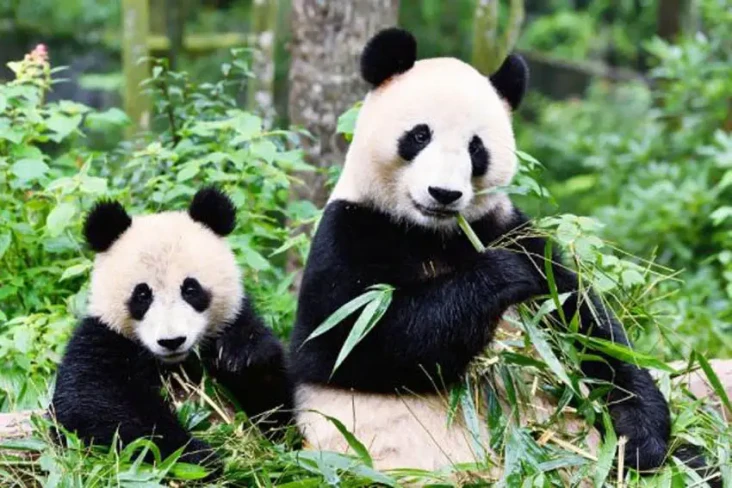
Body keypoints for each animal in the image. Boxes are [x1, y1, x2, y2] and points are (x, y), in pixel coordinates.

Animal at [51, 187, 294, 468]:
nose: (172, 341)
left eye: (191, 289)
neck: (175, 364)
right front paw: (196, 455)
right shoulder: (102, 339)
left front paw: (241, 356)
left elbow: (281, 407)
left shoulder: (235, 320)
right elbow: (96, 405)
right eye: (142, 295)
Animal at [289, 28, 718, 482]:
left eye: (476, 148)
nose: (444, 193)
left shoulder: (510, 230)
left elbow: (591, 333)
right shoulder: (350, 233)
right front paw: (503, 274)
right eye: (420, 136)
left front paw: (639, 440)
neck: (430, 233)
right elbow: (353, 343)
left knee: (691, 462)